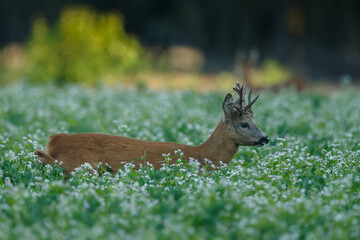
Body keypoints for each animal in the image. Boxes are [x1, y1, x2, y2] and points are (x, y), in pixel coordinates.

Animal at [35, 83, 268, 175]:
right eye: (243, 123)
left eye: (255, 121)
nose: (265, 138)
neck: (202, 156)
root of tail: (54, 139)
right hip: (76, 166)